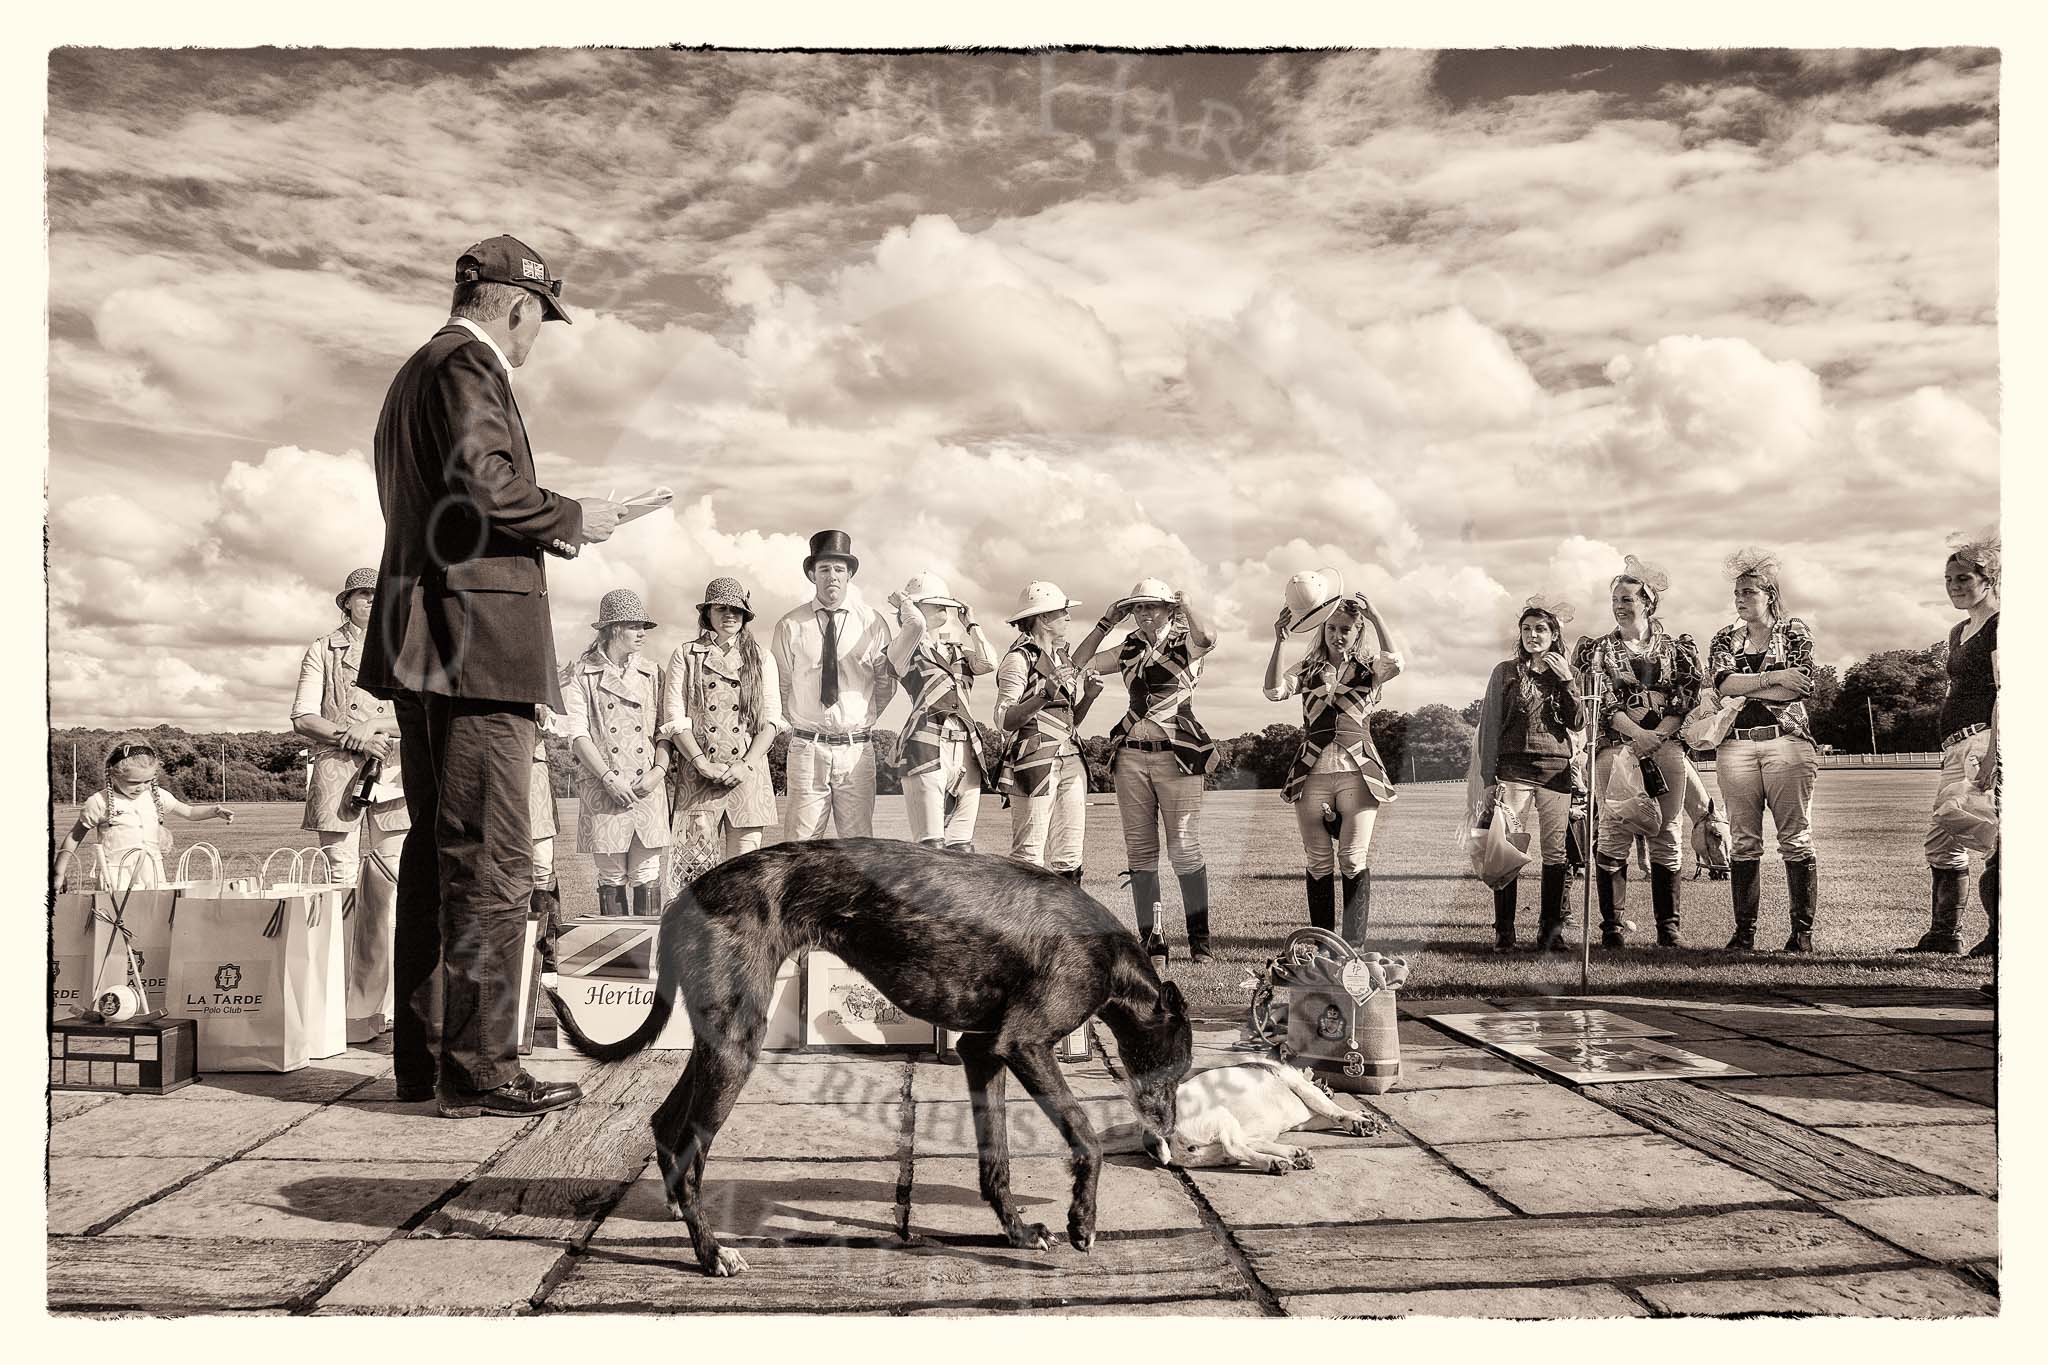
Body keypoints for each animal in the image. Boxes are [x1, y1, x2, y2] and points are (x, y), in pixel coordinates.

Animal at [548, 839, 1196, 1277]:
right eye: (1178, 1069)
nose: (1171, 1142)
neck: (1108, 952)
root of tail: (685, 896)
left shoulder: (982, 1050)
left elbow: (997, 1164)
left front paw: (1016, 1233)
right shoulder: (1024, 1043)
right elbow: (1086, 1137)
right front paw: (1082, 1222)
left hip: (721, 1037)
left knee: (665, 1124)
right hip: (737, 1044)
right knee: (690, 1149)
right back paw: (711, 1254)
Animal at [1097, 1055, 1384, 1178]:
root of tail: (1152, 1132)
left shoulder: (1304, 1119)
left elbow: (1324, 1115)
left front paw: (1364, 1116)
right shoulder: (1297, 1085)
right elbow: (1330, 1108)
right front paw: (1358, 1120)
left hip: (1217, 1147)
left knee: (1240, 1149)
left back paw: (1292, 1156)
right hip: (1222, 1117)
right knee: (1236, 1147)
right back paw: (1275, 1163)